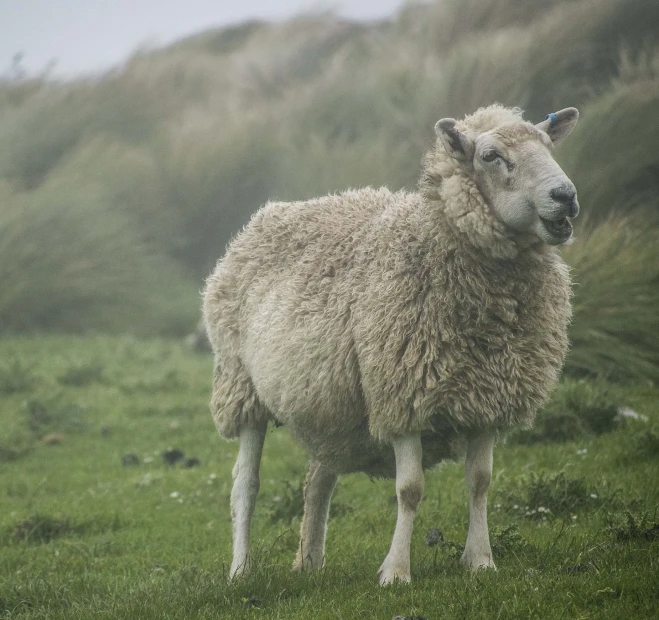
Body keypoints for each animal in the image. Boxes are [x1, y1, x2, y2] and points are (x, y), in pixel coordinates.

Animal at [204, 104, 580, 584]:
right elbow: (410, 489)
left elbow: (480, 482)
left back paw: (310, 562)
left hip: (330, 407)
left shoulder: (487, 397)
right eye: (491, 156)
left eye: (548, 145)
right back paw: (241, 570)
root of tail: (262, 218)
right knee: (245, 485)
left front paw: (480, 561)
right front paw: (396, 571)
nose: (565, 196)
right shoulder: (402, 393)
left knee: (317, 481)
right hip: (241, 385)